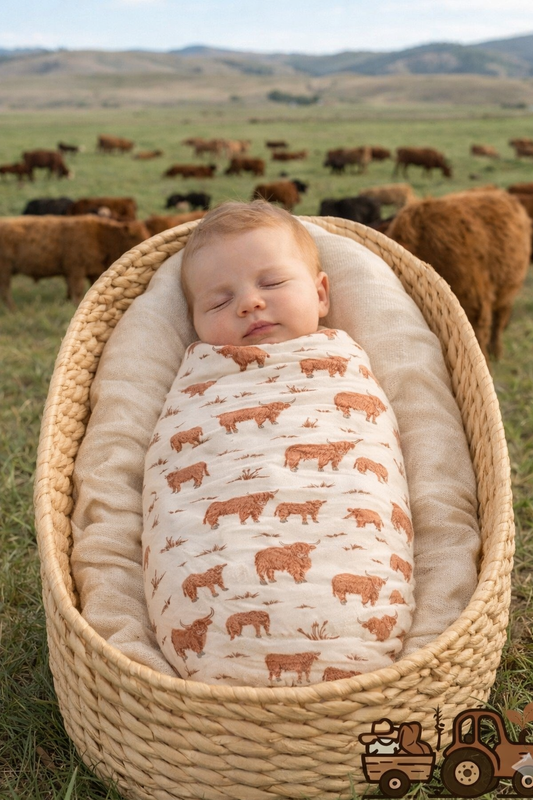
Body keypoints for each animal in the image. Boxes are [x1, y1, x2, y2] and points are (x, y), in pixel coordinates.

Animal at [0, 216, 149, 309]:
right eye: (135, 236)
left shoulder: (91, 272)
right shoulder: (76, 269)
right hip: (5, 270)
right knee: (5, 290)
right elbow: (77, 289)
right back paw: (12, 308)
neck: (100, 237)